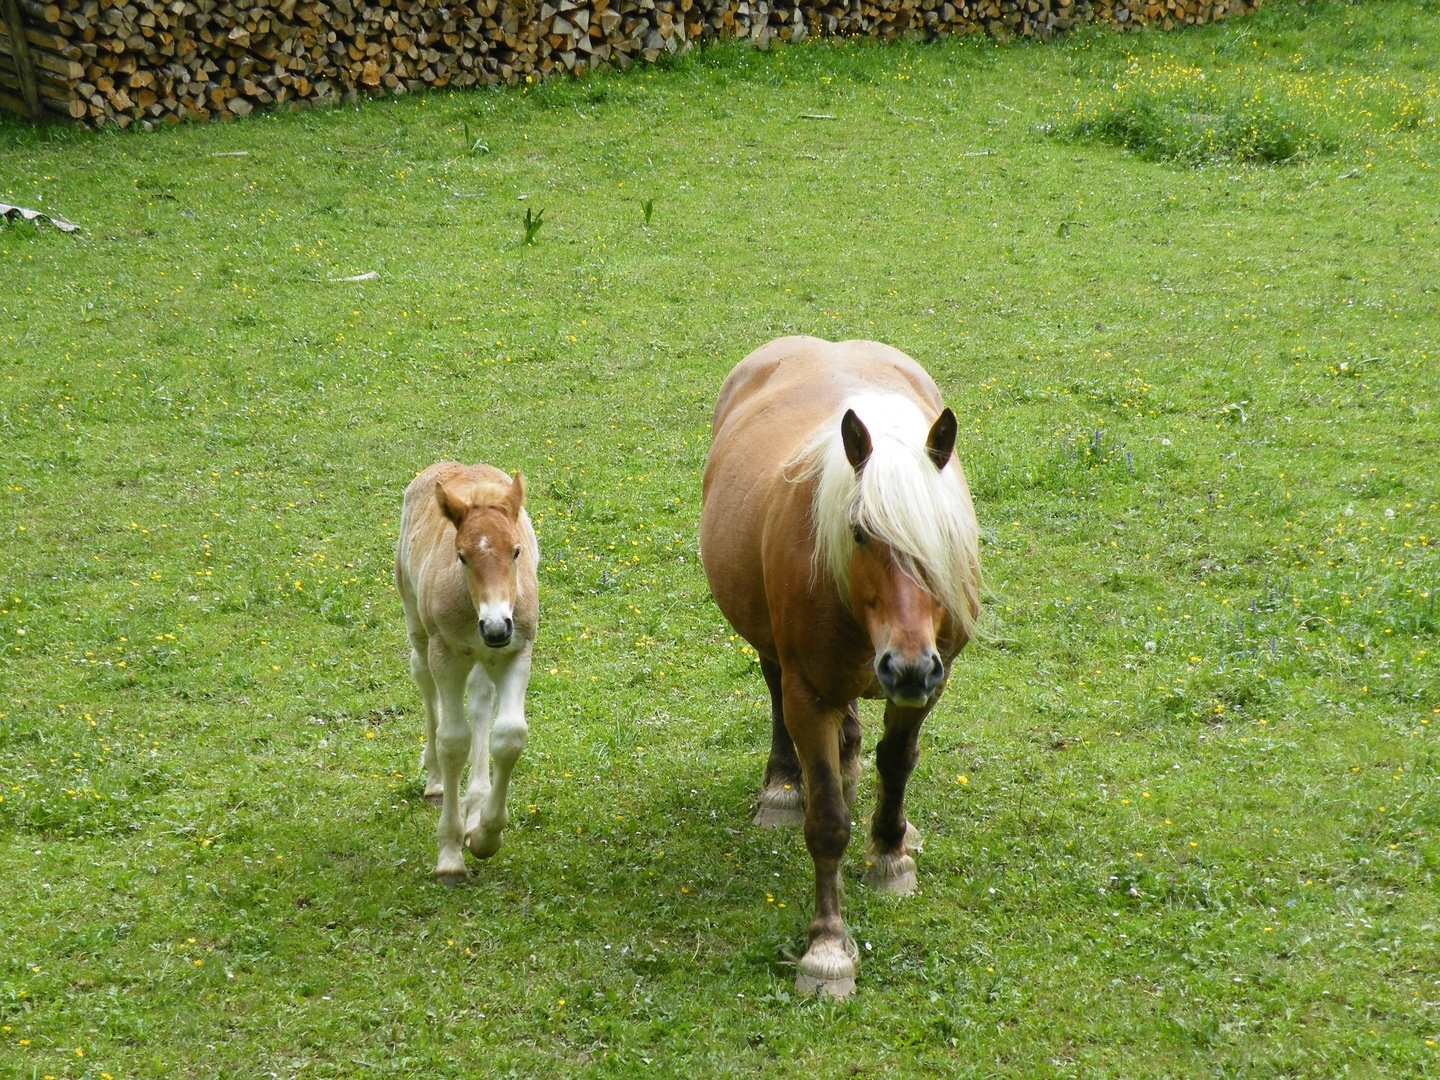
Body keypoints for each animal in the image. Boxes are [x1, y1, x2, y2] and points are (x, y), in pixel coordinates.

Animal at [394, 460, 541, 881]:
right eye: (461, 555)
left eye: (516, 551)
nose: (495, 627)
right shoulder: (446, 653)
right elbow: (452, 740)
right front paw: (450, 853)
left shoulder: (516, 650)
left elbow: (508, 735)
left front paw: (485, 836)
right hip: (418, 624)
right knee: (424, 681)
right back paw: (434, 779)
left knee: (479, 701)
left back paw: (475, 802)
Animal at [702, 336, 984, 996]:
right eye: (859, 533)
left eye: (944, 534)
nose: (908, 668)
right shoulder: (810, 695)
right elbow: (827, 821)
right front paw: (827, 949)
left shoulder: (929, 686)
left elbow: (897, 762)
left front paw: (890, 853)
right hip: (776, 653)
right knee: (775, 692)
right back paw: (783, 788)